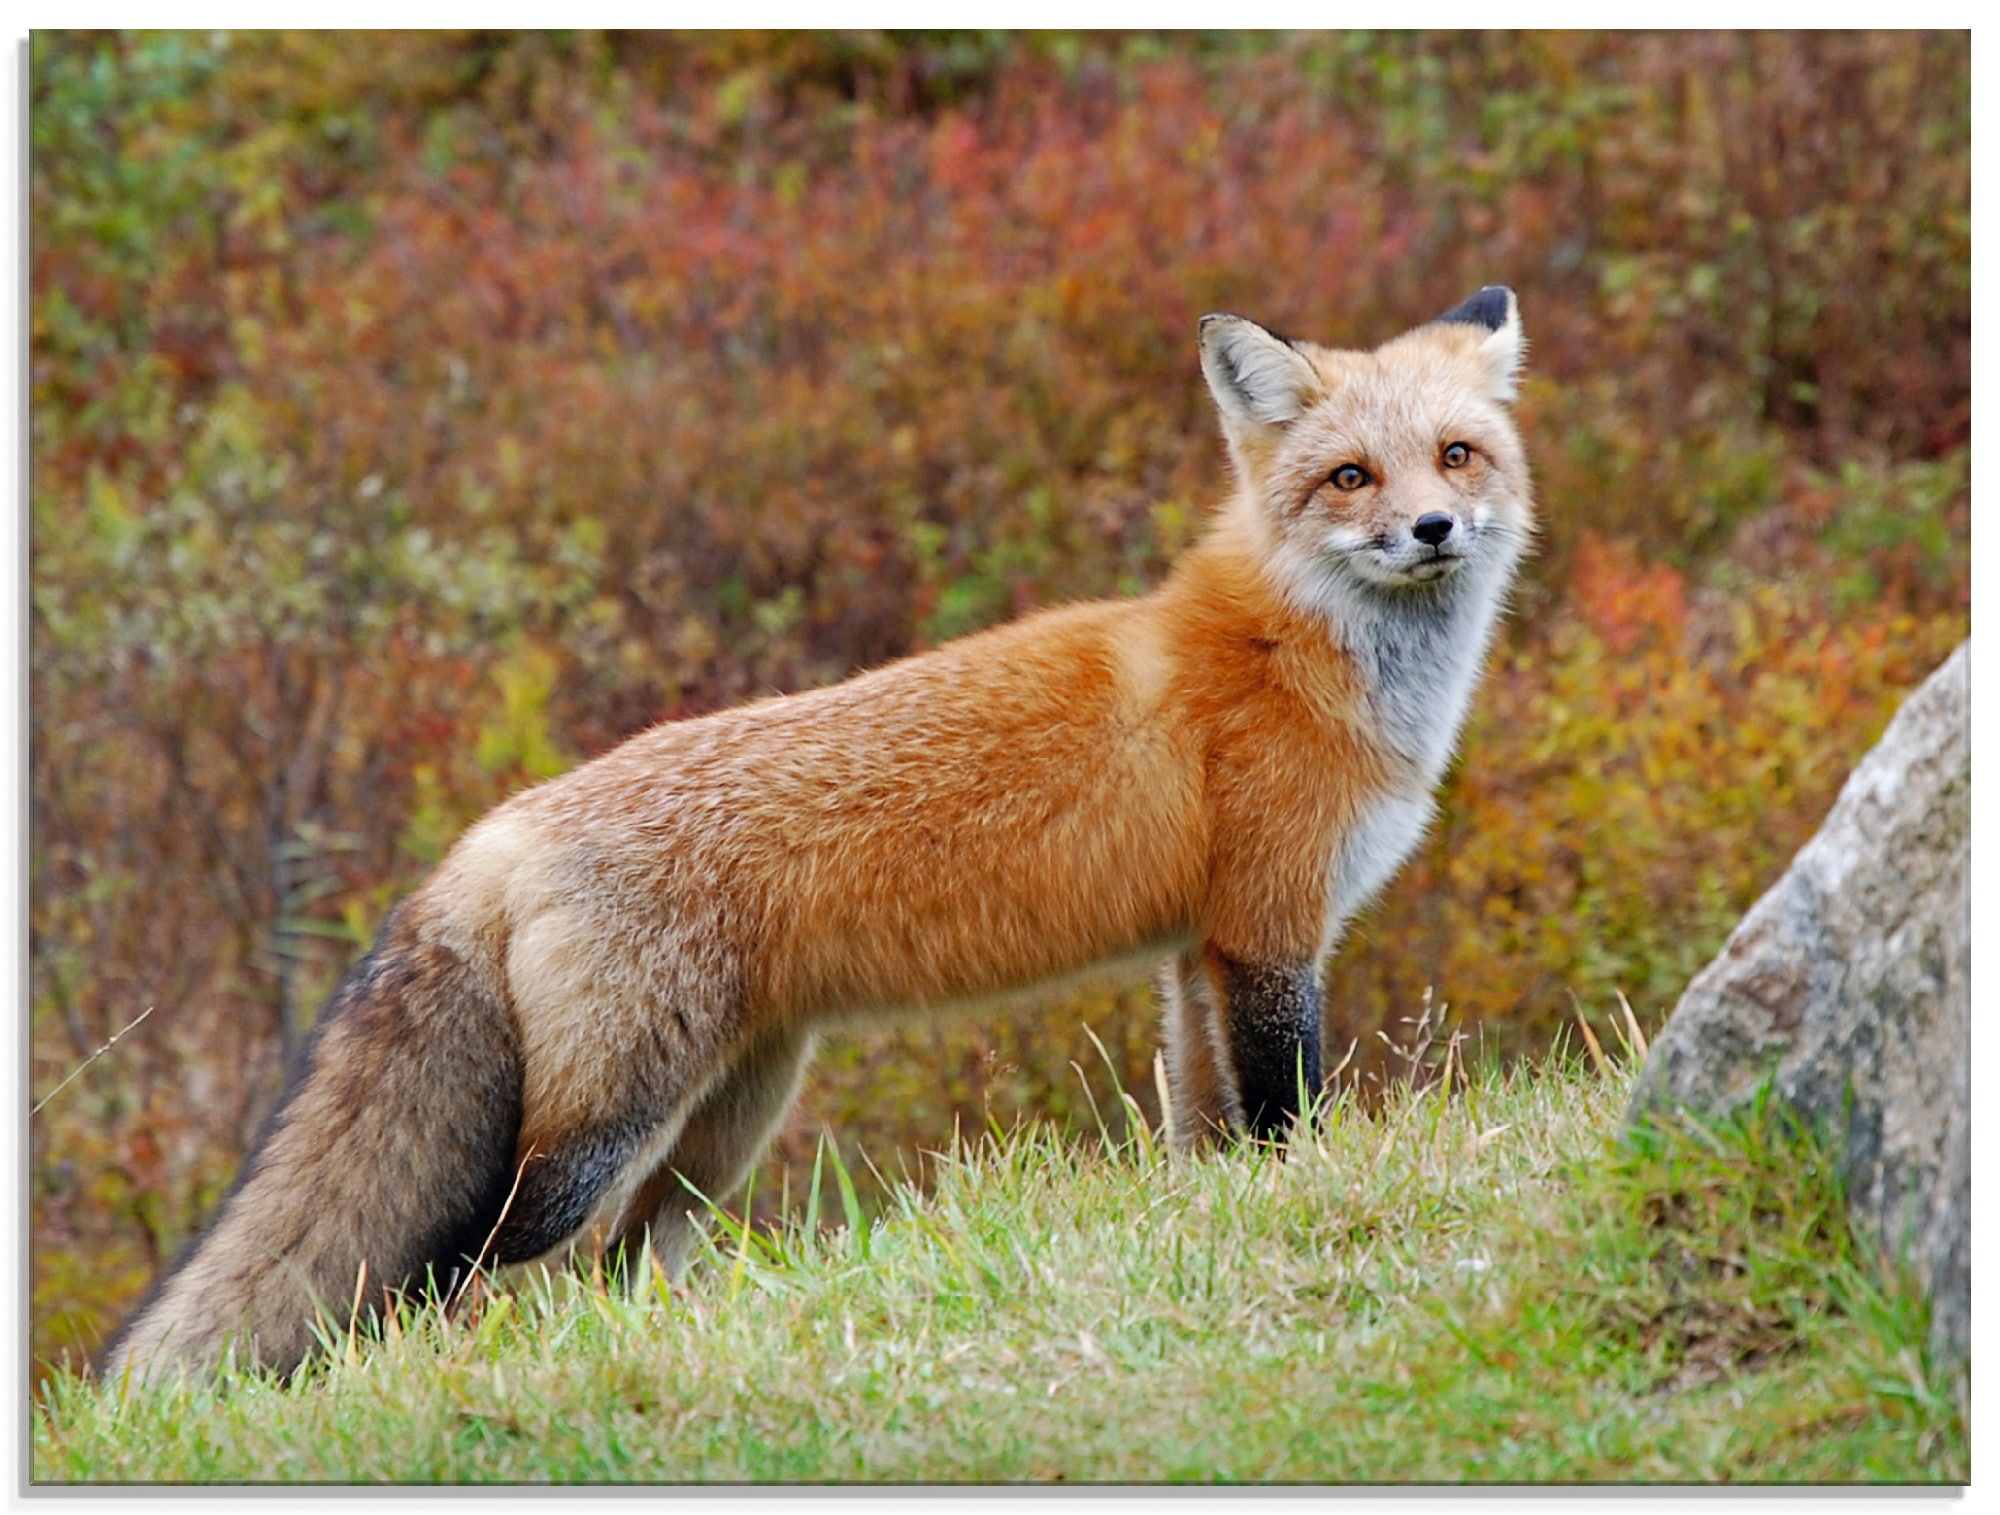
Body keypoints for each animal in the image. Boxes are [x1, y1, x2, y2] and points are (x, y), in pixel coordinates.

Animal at [100, 287, 1534, 1382]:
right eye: (1350, 476)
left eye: (1456, 455)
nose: (1431, 528)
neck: (1299, 655)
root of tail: (495, 830)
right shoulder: (1270, 933)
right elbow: (1289, 1120)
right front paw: (1299, 1200)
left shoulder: (1198, 953)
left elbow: (1204, 1133)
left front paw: (1208, 1227)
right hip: (600, 1128)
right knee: (459, 1266)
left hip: (727, 1120)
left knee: (623, 1262)